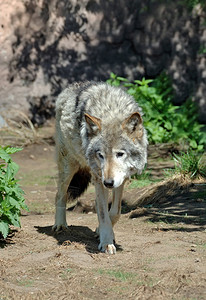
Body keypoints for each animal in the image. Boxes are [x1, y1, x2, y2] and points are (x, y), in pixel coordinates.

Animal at [52, 81, 147, 253]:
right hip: (69, 166)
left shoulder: (120, 180)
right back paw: (60, 225)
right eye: (100, 155)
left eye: (120, 154)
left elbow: (115, 212)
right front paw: (107, 242)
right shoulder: (99, 178)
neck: (111, 111)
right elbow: (103, 213)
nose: (108, 183)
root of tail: (71, 87)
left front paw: (100, 231)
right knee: (59, 195)